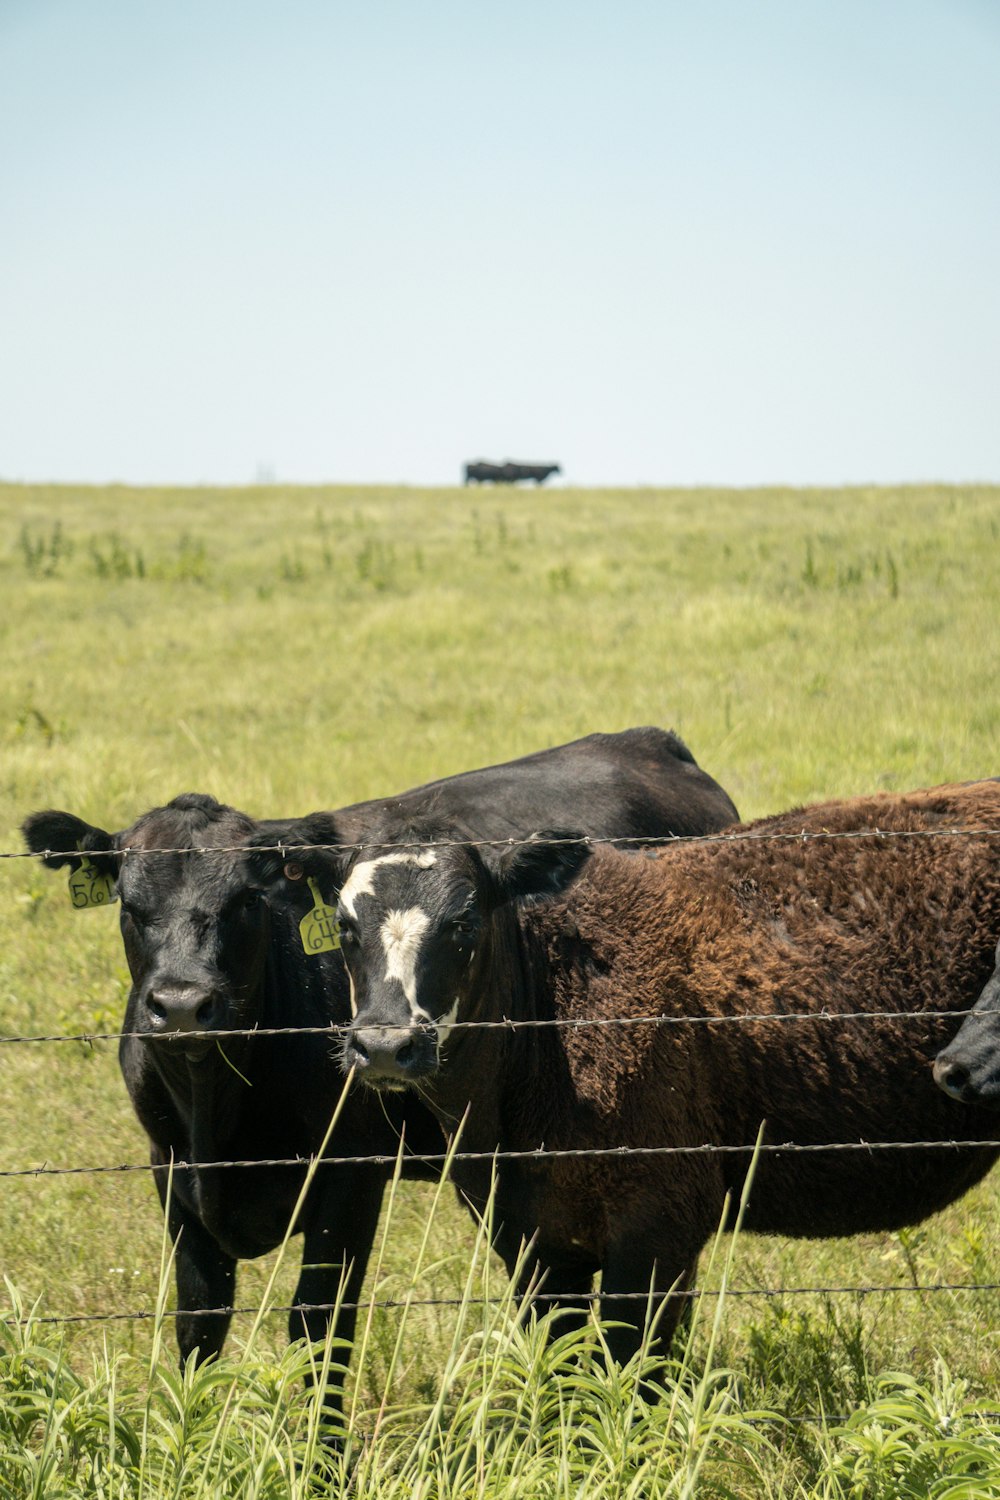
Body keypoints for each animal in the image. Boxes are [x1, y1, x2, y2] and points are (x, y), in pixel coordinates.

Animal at [23, 726, 734, 1416]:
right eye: (129, 904)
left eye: (247, 902)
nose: (180, 1004)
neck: (219, 1117)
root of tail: (647, 742)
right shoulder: (171, 1172)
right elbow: (199, 1328)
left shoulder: (351, 1174)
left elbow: (317, 1327)